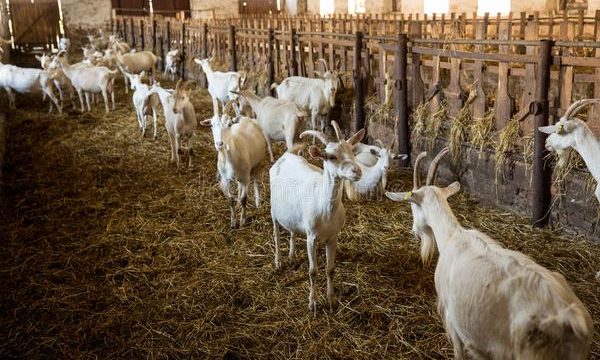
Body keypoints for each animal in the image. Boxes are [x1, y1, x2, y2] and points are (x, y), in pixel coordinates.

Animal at [270, 121, 364, 312]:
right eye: (331, 156)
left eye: (352, 151)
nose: (356, 171)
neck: (325, 208)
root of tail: (286, 156)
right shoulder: (311, 238)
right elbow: (313, 271)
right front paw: (313, 303)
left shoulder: (333, 237)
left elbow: (330, 269)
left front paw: (332, 300)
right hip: (273, 210)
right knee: (276, 234)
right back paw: (278, 262)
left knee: (292, 231)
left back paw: (291, 257)